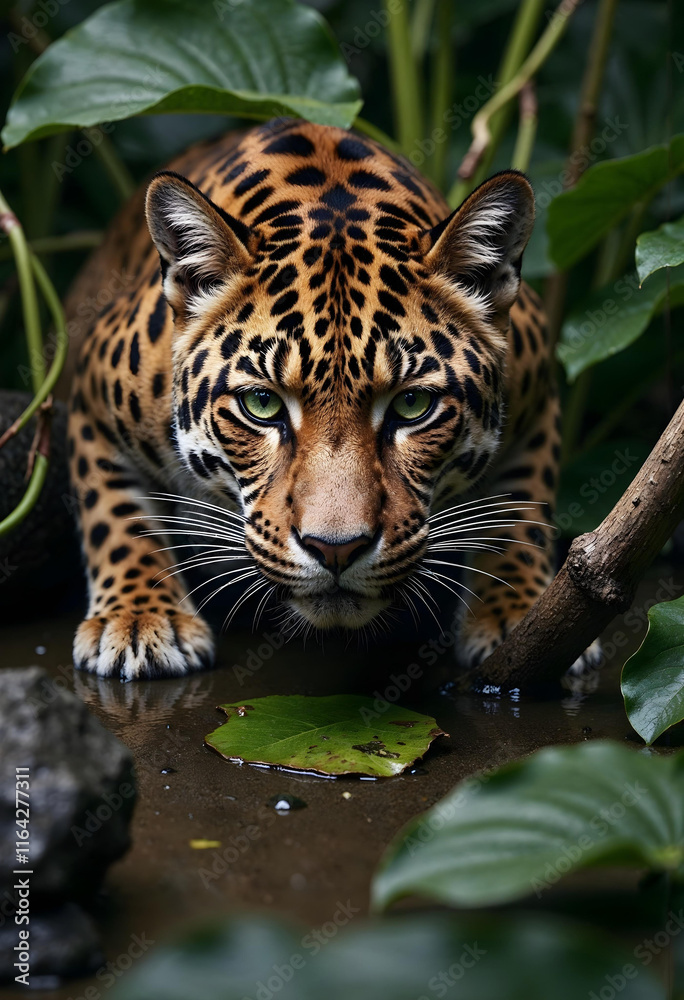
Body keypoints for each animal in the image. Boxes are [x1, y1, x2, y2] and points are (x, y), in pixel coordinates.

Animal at [66, 117, 566, 682]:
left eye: (413, 406)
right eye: (261, 405)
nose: (336, 550)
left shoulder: (537, 386)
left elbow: (521, 513)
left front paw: (518, 612)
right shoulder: (90, 394)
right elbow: (118, 518)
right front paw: (140, 619)